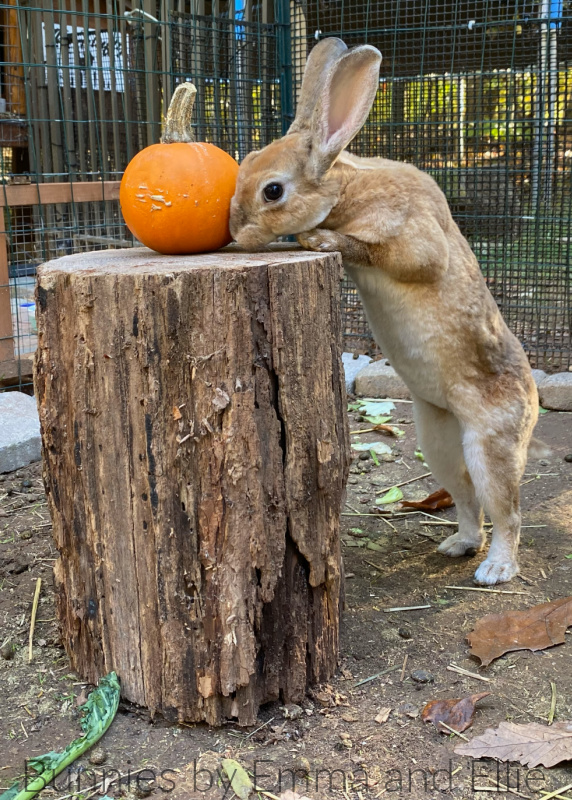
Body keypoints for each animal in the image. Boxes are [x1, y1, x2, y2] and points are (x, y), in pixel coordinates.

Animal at [229, 37, 542, 585]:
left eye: (273, 190)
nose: (234, 229)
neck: (344, 190)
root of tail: (533, 404)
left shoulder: (413, 238)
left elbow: (390, 255)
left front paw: (318, 240)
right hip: (438, 440)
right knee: (467, 501)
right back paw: (456, 545)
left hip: (491, 445)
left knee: (506, 512)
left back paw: (495, 569)